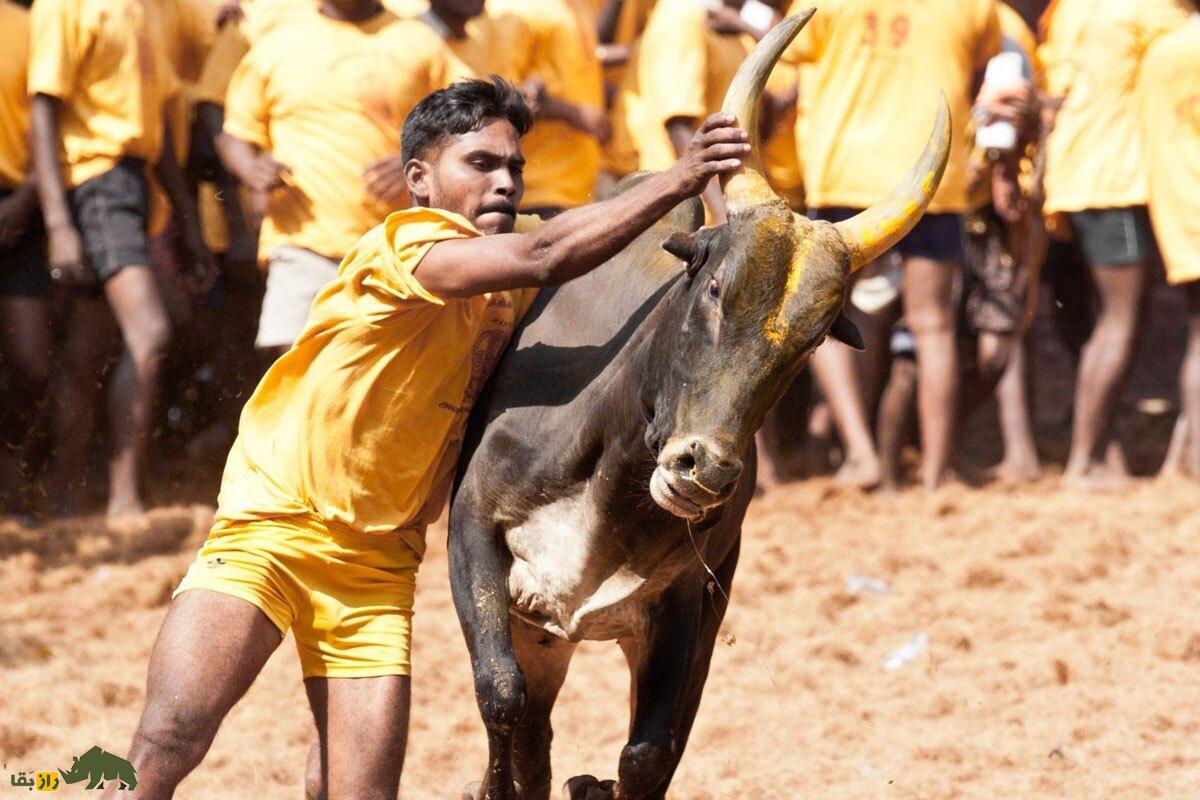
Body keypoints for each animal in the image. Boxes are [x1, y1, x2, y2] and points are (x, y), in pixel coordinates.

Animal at [446, 9, 950, 796]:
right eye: (714, 288)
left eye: (812, 339)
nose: (703, 472)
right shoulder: (473, 532)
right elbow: (500, 694)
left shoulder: (691, 606)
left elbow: (648, 754)